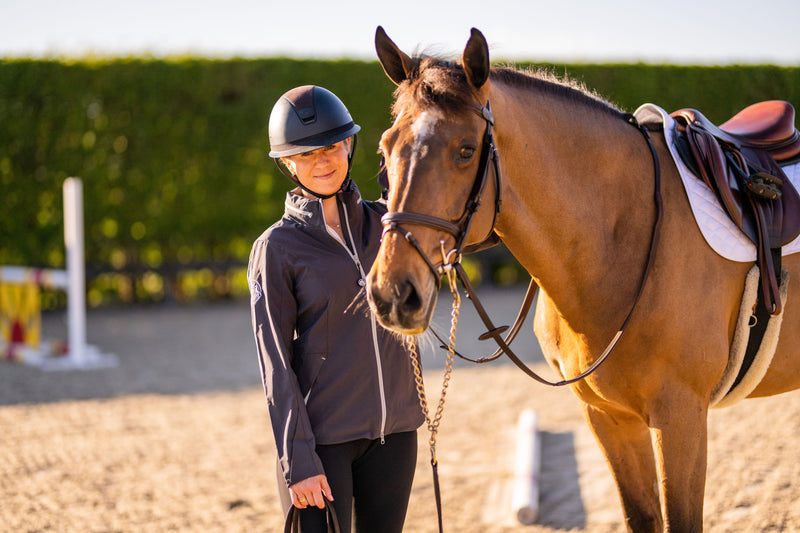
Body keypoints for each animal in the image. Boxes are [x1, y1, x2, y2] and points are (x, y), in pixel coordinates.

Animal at [365, 26, 800, 532]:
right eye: (385, 149)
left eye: (466, 150)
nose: (392, 293)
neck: (623, 236)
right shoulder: (607, 418)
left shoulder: (680, 418)